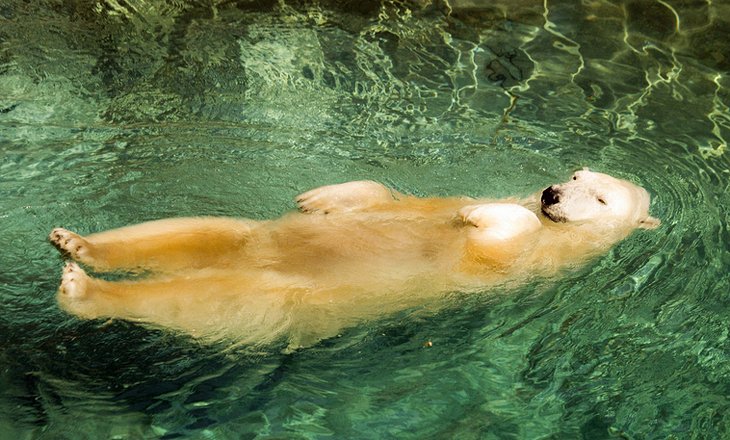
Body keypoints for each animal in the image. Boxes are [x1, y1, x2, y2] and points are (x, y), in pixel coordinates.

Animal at [48, 168, 656, 348]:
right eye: (576, 174)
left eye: (602, 198)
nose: (552, 193)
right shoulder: (437, 201)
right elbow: (386, 197)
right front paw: (320, 199)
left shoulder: (529, 265)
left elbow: (497, 243)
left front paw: (480, 216)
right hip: (258, 240)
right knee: (197, 233)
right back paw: (77, 242)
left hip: (287, 300)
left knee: (217, 297)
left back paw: (83, 287)